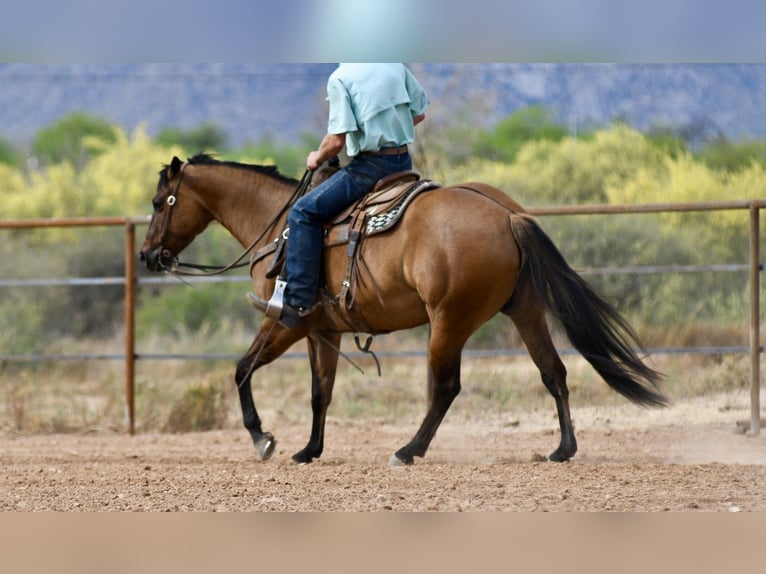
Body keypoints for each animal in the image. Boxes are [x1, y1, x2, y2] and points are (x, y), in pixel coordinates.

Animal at [139, 153, 666, 466]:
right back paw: (562, 448)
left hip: (449, 322)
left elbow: (242, 369)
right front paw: (310, 450)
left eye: (161, 201)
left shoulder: (282, 321)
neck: (281, 226)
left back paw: (409, 450)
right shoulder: (321, 330)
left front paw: (261, 438)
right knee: (553, 371)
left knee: (447, 387)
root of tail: (506, 214)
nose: (147, 256)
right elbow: (320, 391)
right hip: (526, 312)